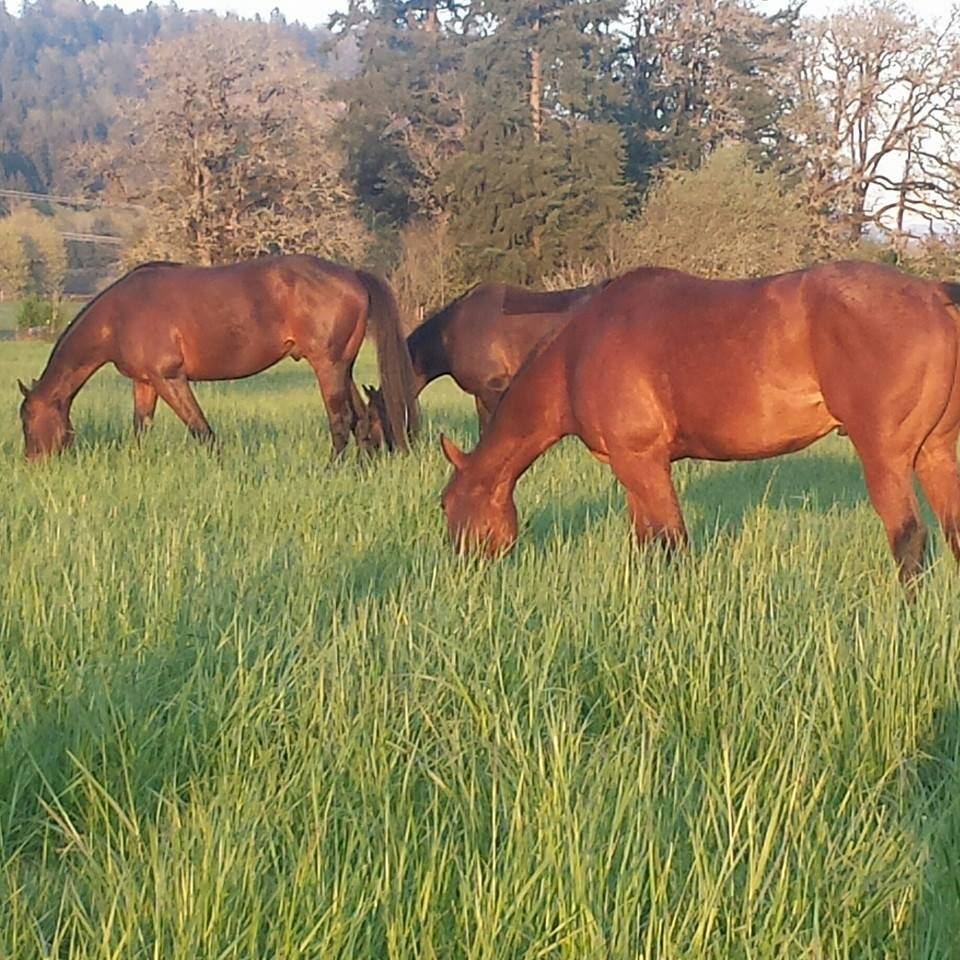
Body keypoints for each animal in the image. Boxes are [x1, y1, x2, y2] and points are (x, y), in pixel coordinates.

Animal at [18, 256, 420, 461]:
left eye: (27, 420)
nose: (33, 463)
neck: (119, 315)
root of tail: (352, 274)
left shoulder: (170, 379)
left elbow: (202, 431)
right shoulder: (146, 382)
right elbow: (141, 428)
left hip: (328, 366)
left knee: (341, 420)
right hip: (343, 367)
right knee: (362, 419)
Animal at [439, 261, 960, 586]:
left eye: (445, 505)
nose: (460, 570)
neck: (578, 351)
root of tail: (934, 294)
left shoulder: (641, 462)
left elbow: (672, 543)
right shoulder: (635, 467)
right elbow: (647, 542)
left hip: (885, 457)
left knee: (909, 538)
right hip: (936, 453)